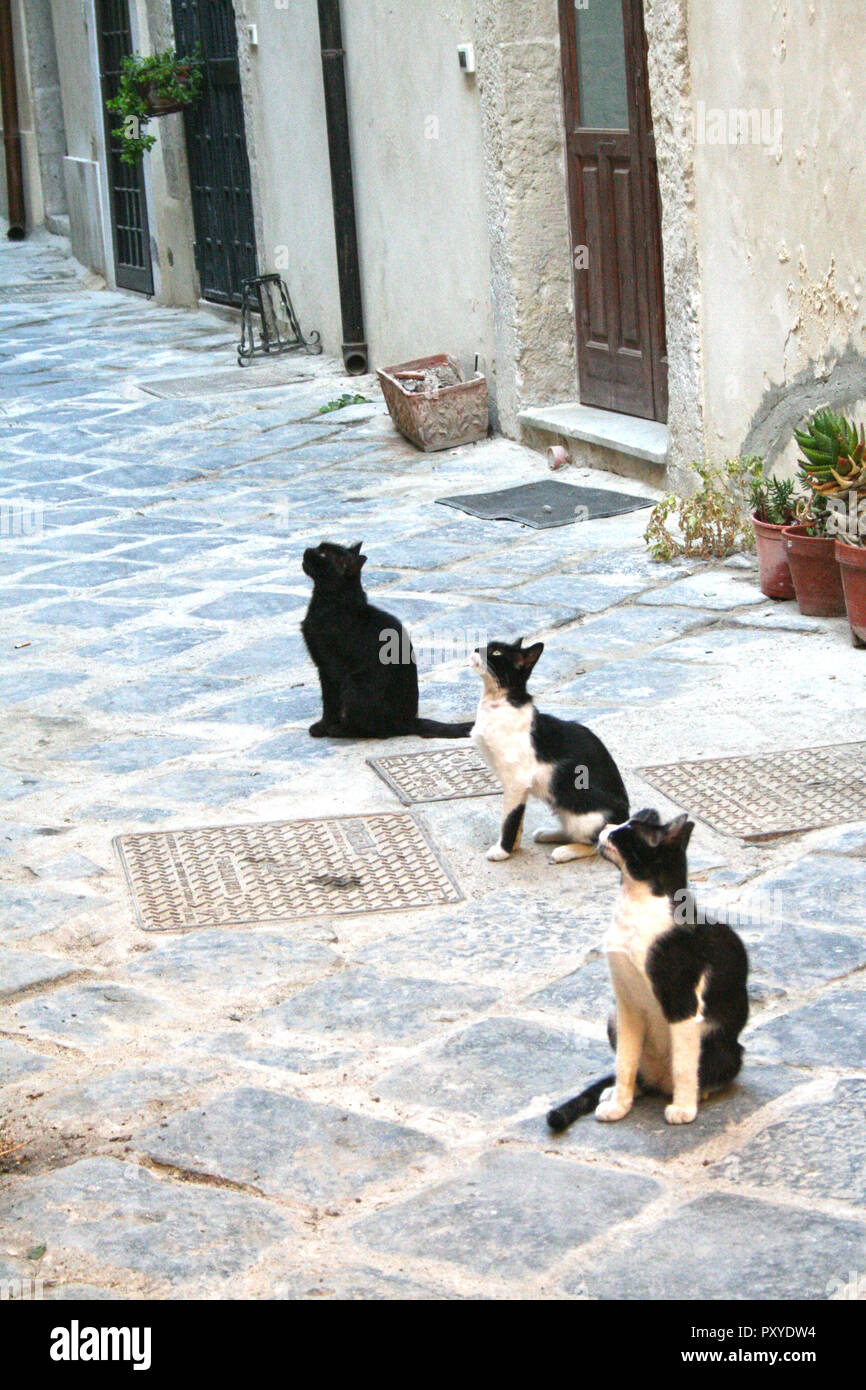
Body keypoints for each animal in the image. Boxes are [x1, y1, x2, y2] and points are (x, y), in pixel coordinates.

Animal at [300, 539, 475, 745]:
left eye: (323, 554)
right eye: (319, 548)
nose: (306, 550)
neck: (329, 603)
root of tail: (410, 721)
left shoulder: (329, 667)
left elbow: (329, 703)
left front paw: (323, 726)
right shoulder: (323, 667)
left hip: (355, 683)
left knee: (375, 731)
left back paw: (340, 730)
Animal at [467, 636, 631, 856]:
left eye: (496, 653)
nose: (476, 648)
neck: (499, 703)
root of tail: (625, 818)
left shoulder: (516, 780)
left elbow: (510, 818)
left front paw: (503, 851)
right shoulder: (521, 786)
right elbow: (518, 818)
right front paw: (514, 847)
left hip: (583, 813)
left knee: (597, 842)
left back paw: (564, 852)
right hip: (561, 806)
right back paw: (550, 834)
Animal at [553, 811, 750, 1134]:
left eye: (624, 833)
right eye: (622, 825)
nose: (606, 827)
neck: (635, 906)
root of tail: (659, 1080)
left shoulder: (683, 1004)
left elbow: (684, 1066)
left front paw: (683, 1109)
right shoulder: (627, 1005)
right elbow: (624, 1062)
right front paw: (619, 1105)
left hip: (720, 1045)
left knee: (705, 1070)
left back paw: (697, 1094)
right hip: (613, 1019)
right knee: (639, 1075)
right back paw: (618, 1093)